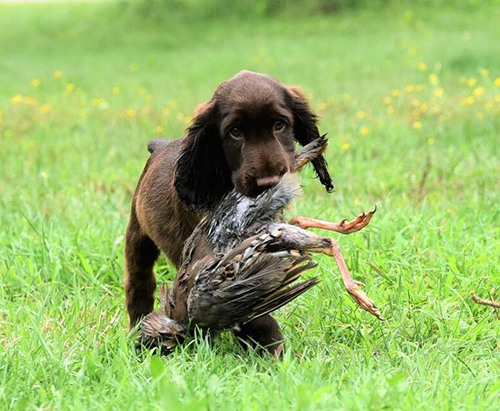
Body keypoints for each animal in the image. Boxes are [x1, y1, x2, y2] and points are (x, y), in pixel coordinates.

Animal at [124, 70, 332, 354]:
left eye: (280, 125)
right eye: (235, 132)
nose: (269, 184)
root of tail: (160, 146)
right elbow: (255, 312)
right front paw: (270, 349)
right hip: (138, 237)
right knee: (139, 282)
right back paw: (137, 329)